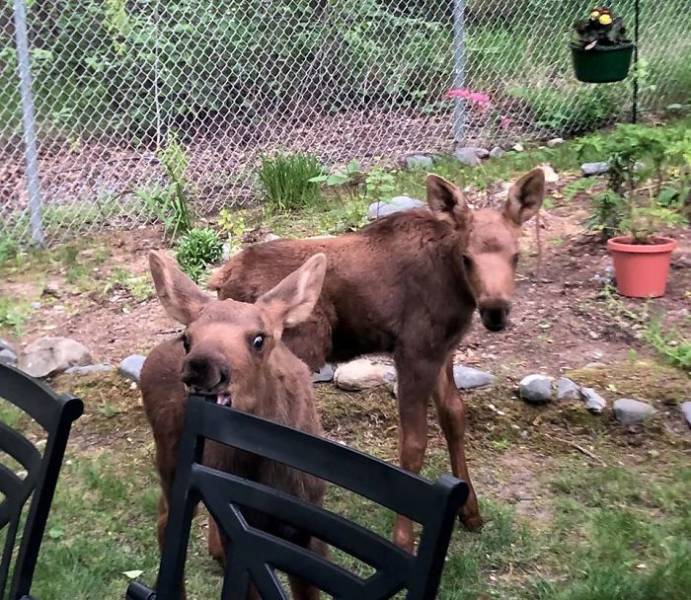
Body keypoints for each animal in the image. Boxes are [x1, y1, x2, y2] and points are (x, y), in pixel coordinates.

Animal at [140, 250, 328, 600]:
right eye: (188, 339)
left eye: (259, 339)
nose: (200, 366)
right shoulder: (242, 540)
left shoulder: (308, 530)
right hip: (168, 457)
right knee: (166, 520)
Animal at [208, 168, 546, 551]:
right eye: (467, 258)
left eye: (516, 255)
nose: (495, 311)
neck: (456, 289)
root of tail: (222, 279)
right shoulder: (413, 351)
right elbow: (413, 444)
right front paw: (403, 539)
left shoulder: (443, 350)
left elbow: (454, 418)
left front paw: (471, 512)